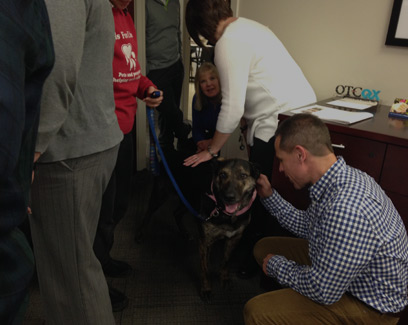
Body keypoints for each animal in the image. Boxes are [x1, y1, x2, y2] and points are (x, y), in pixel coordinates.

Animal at [197, 158, 258, 302]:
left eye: (243, 175)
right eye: (223, 175)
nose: (229, 197)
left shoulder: (234, 238)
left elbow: (226, 260)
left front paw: (224, 278)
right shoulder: (204, 242)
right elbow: (205, 268)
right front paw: (206, 288)